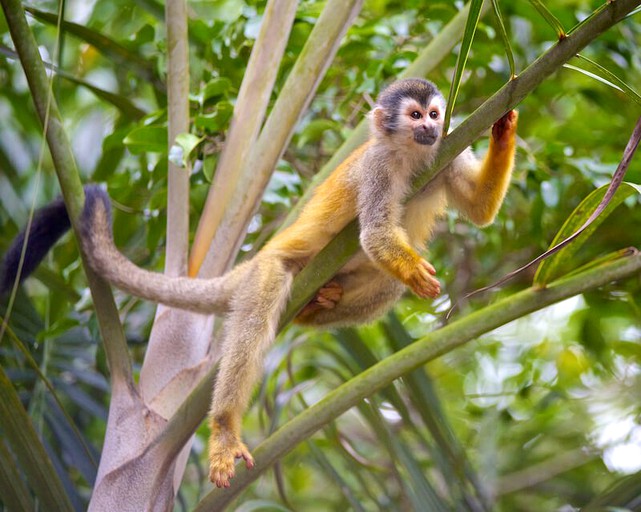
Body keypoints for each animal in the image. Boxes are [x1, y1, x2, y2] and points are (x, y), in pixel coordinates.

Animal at [1, 78, 520, 486]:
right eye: (414, 116)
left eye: (435, 114)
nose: (430, 127)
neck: (412, 157)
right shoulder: (376, 168)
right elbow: (373, 235)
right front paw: (414, 270)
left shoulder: (448, 152)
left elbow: (479, 210)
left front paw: (504, 126)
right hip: (270, 269)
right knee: (260, 312)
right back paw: (224, 428)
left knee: (381, 285)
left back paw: (317, 308)